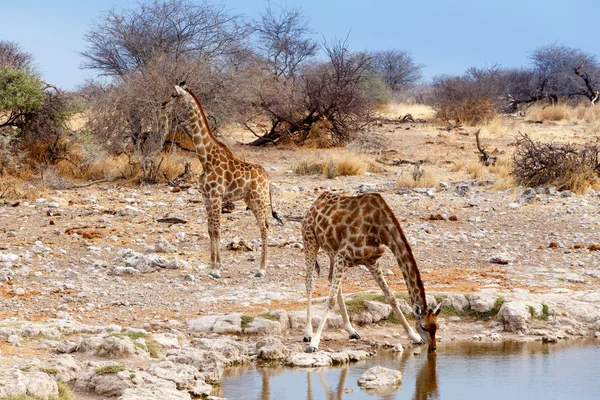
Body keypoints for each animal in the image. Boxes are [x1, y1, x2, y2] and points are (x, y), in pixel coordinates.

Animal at [162, 82, 284, 278]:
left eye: (174, 95)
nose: (162, 104)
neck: (205, 158)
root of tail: (268, 178)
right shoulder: (206, 197)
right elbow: (210, 230)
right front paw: (212, 266)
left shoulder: (216, 196)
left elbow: (217, 230)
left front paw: (217, 269)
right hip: (250, 199)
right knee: (266, 225)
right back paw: (263, 265)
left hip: (259, 199)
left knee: (264, 227)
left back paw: (261, 269)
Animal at [302, 191, 438, 354]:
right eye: (423, 327)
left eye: (436, 327)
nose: (433, 348)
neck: (380, 228)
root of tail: (314, 204)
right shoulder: (343, 255)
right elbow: (330, 300)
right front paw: (314, 343)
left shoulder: (371, 262)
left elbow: (391, 297)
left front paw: (414, 336)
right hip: (310, 240)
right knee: (310, 281)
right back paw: (308, 334)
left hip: (332, 251)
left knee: (330, 279)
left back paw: (351, 331)